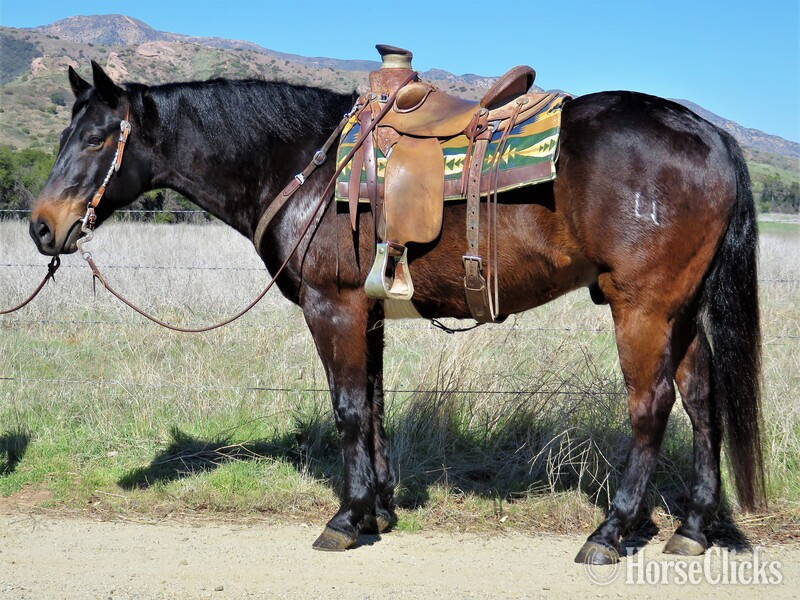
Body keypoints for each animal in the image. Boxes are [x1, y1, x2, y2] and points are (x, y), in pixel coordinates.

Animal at [29, 60, 764, 563]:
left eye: (96, 139)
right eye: (66, 133)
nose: (41, 228)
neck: (304, 166)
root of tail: (710, 133)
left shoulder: (333, 307)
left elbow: (349, 409)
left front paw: (348, 518)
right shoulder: (371, 312)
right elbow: (375, 406)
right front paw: (379, 509)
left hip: (643, 307)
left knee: (651, 406)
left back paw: (610, 532)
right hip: (680, 310)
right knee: (701, 399)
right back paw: (693, 528)